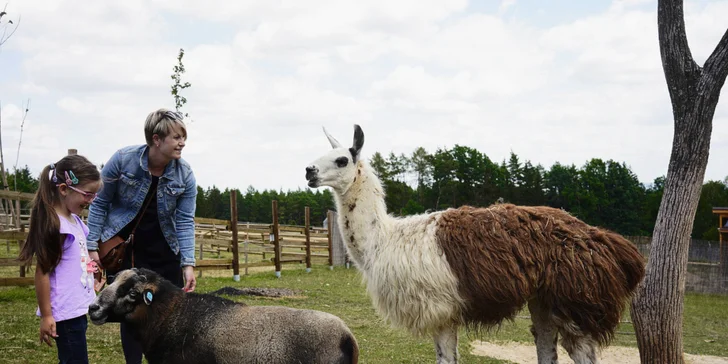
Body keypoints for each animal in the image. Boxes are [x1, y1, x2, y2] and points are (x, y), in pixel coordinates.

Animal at [304, 123, 644, 362]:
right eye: (319, 157)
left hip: (577, 297)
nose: (308, 170)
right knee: (547, 346)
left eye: (341, 159)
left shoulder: (440, 309)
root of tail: (613, 243)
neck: (384, 240)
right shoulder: (445, 311)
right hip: (544, 297)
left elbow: (445, 359)